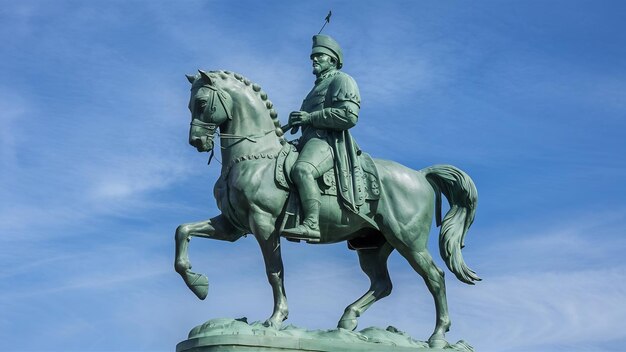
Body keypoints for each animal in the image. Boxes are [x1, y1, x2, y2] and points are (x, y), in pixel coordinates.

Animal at [173, 70, 480, 348]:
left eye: (201, 102)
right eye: (189, 105)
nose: (197, 142)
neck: (256, 157)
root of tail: (420, 174)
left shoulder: (264, 224)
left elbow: (274, 272)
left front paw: (274, 320)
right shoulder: (232, 226)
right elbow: (182, 231)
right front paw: (198, 284)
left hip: (408, 241)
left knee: (435, 278)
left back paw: (437, 337)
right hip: (372, 247)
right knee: (382, 284)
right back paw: (347, 321)